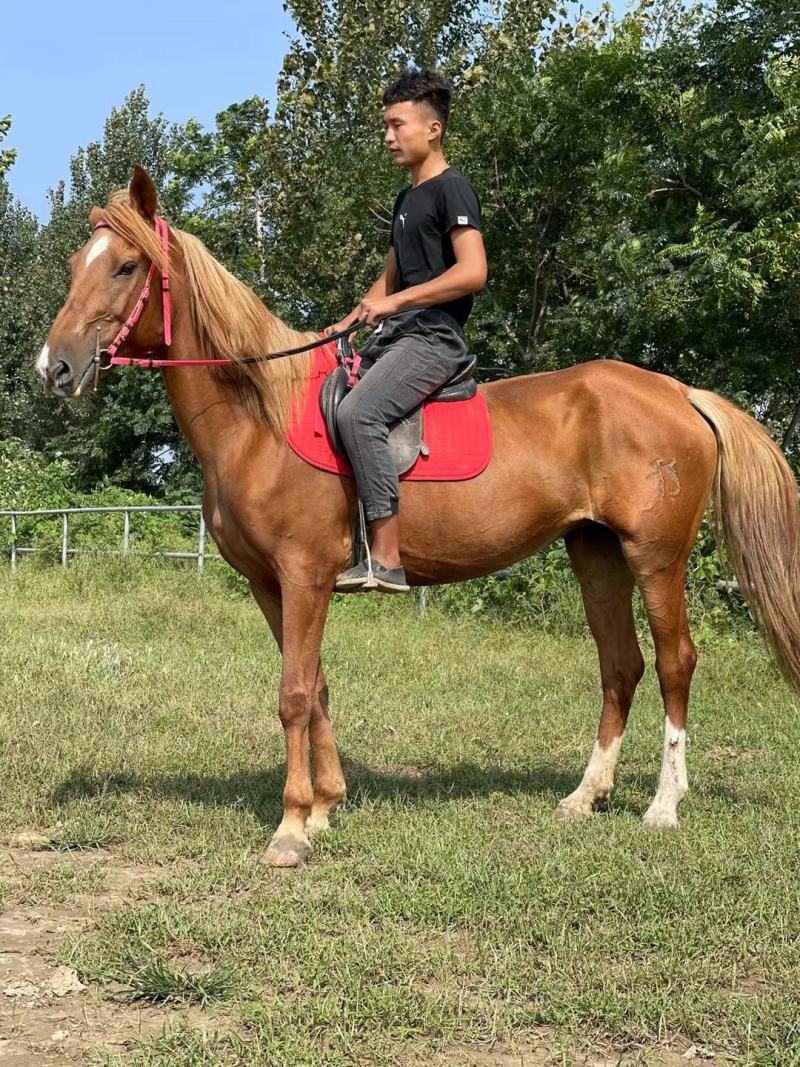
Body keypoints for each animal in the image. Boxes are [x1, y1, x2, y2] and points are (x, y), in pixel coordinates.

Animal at [36, 165, 800, 867]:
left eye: (126, 265)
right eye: (76, 265)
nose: (55, 368)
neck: (260, 416)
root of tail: (679, 392)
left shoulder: (305, 575)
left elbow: (293, 693)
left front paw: (291, 828)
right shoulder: (269, 584)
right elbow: (316, 685)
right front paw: (326, 806)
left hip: (655, 555)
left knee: (675, 662)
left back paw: (664, 804)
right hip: (596, 551)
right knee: (622, 665)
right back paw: (587, 795)